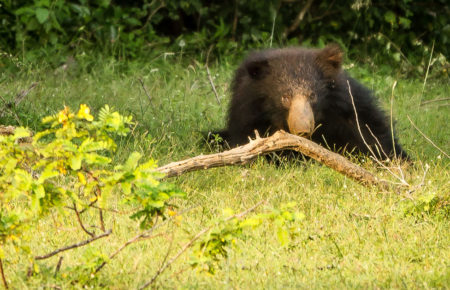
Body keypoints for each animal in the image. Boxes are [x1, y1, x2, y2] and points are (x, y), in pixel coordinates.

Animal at [209, 44, 410, 160]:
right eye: (285, 97)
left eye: (312, 96)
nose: (303, 130)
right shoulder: (248, 115)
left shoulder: (349, 109)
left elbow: (372, 136)